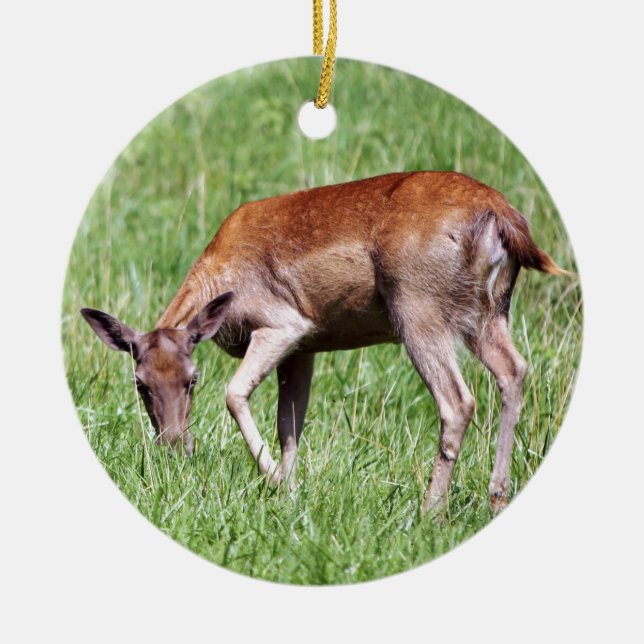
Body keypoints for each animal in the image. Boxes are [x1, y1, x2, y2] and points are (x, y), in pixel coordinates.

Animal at [81, 171, 568, 515]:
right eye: (141, 384)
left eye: (193, 379)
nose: (174, 444)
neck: (218, 271)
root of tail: (504, 220)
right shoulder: (306, 348)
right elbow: (289, 424)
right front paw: (292, 493)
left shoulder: (286, 324)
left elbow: (235, 394)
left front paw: (276, 482)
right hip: (489, 311)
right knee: (513, 369)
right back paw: (496, 496)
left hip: (418, 305)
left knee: (458, 399)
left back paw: (429, 511)